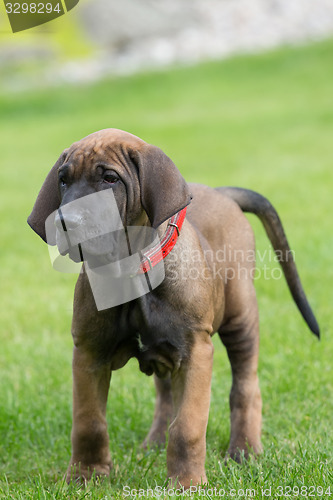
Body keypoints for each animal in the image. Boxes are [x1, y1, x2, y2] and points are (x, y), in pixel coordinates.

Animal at [27, 128, 318, 488]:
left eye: (110, 179)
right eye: (63, 180)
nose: (65, 222)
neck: (130, 270)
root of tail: (222, 193)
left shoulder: (195, 352)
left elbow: (188, 425)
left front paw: (187, 483)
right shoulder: (89, 352)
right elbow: (88, 422)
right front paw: (86, 475)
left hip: (240, 317)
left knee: (245, 386)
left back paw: (245, 449)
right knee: (165, 394)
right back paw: (154, 443)